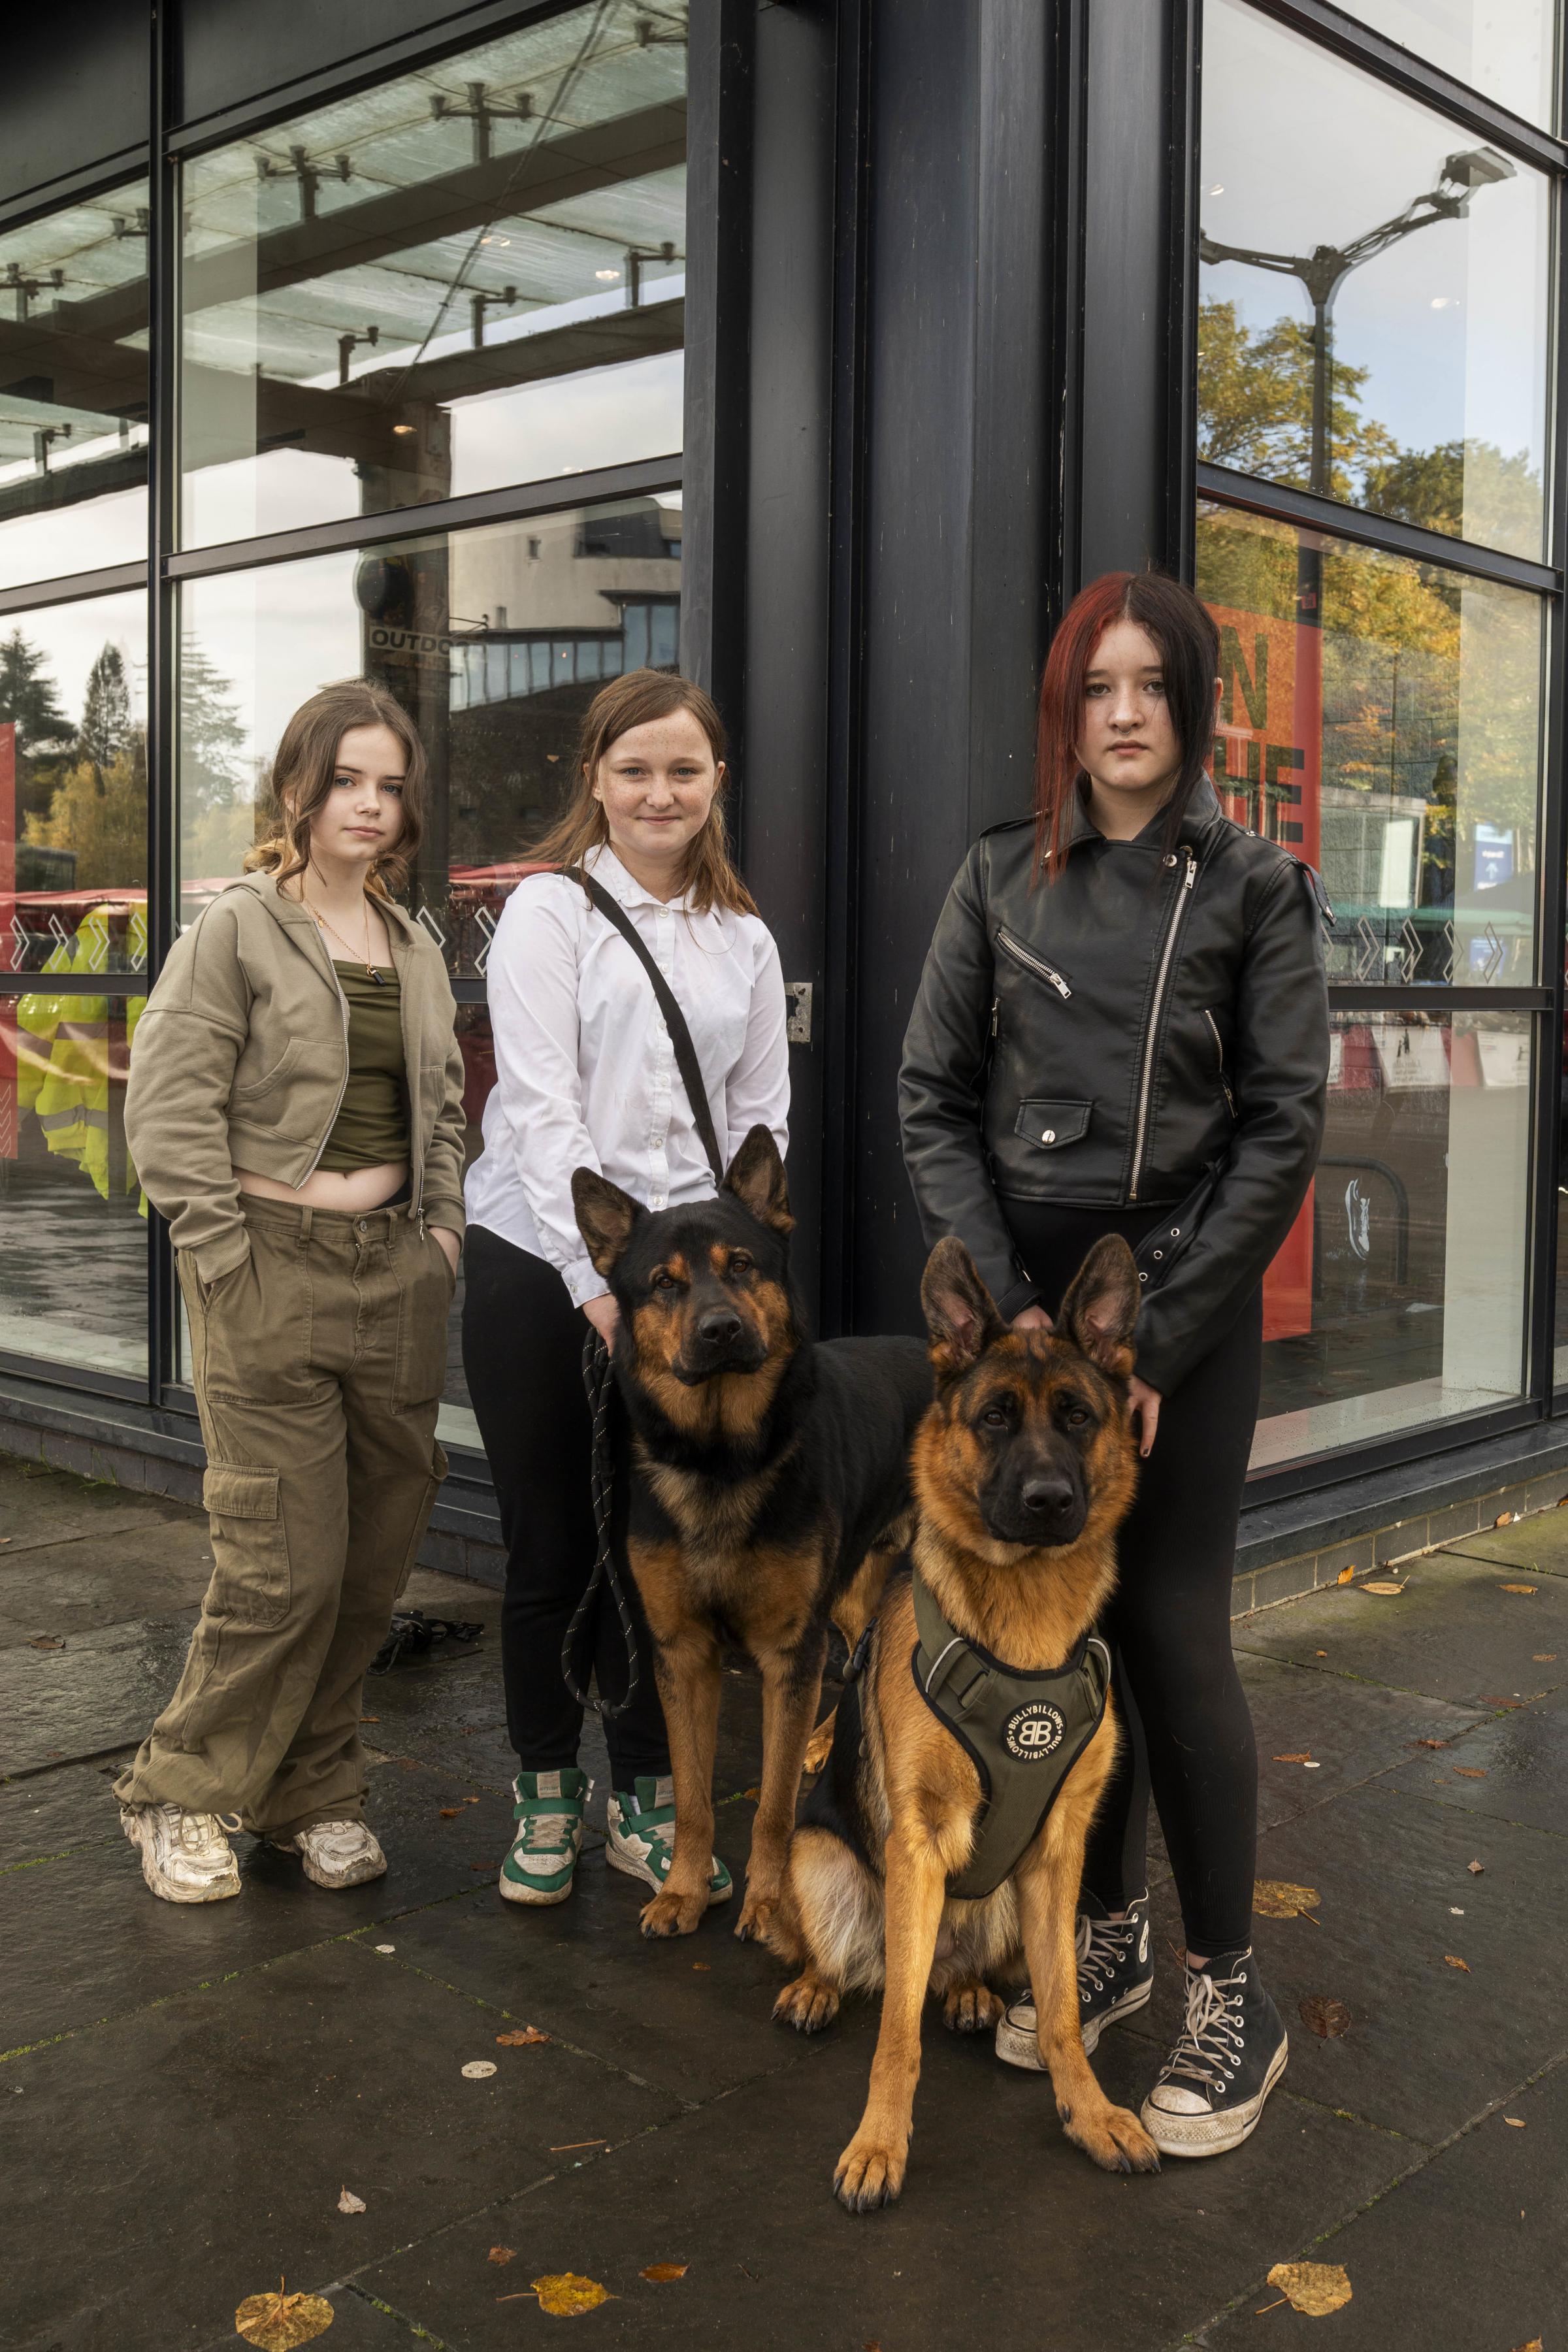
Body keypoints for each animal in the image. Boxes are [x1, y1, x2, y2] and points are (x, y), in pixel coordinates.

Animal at [571, 1129, 930, 1938]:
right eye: (664, 1285)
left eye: (741, 1266)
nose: (721, 1331)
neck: (721, 1457)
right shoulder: (683, 1657)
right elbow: (694, 1797)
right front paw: (683, 1889)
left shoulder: (785, 1653)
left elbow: (771, 1803)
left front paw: (770, 1902)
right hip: (851, 1590)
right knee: (854, 1655)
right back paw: (826, 1738)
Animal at [766, 1232, 1161, 2201]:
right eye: (993, 1419)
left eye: (1078, 1417)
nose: (1051, 1501)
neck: (1020, 1633)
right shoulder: (917, 1841)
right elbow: (895, 2036)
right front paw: (880, 2142)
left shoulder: (1058, 1848)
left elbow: (1062, 2012)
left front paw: (1091, 2114)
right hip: (817, 1855)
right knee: (853, 1964)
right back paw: (818, 1986)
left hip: (1017, 1900)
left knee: (963, 1977)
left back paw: (974, 1993)